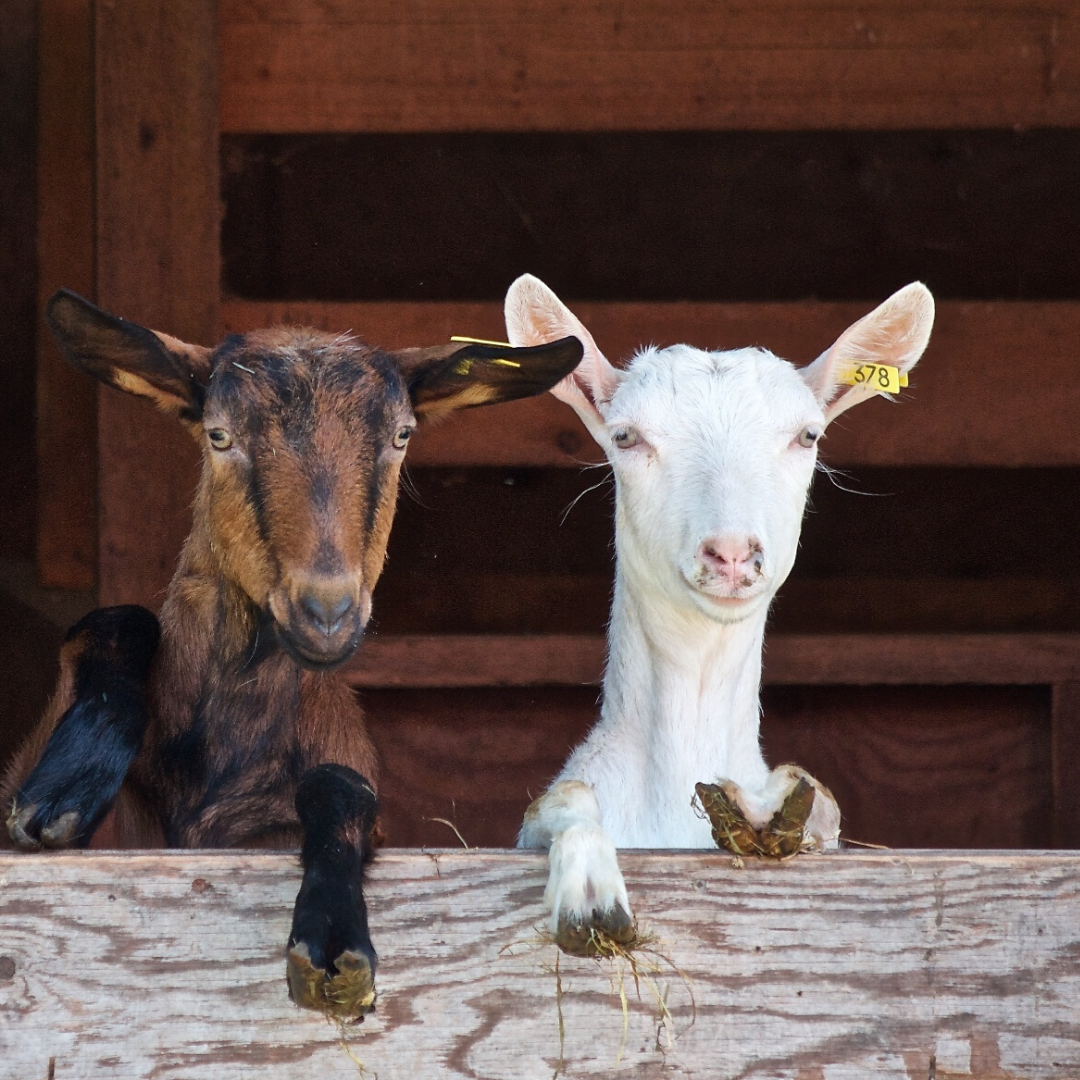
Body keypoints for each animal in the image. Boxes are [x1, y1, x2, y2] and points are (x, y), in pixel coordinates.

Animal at [6, 291, 583, 1015]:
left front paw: (334, 939)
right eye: (219, 435)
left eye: (402, 436)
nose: (327, 613)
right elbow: (115, 621)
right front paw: (66, 787)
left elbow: (341, 785)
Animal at [507, 274, 937, 950]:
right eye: (625, 436)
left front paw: (765, 807)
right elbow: (562, 798)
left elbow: (821, 799)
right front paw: (590, 895)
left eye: (808, 436)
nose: (732, 553)